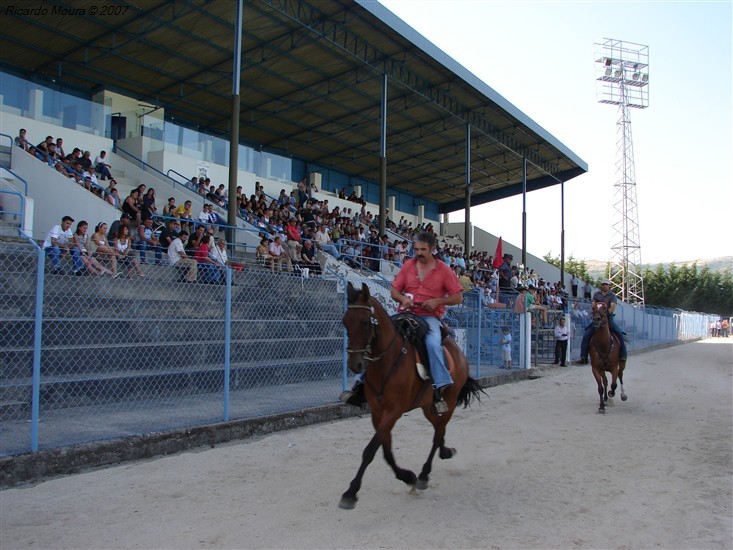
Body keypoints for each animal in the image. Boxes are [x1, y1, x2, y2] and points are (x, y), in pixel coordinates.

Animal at [338, 282, 486, 512]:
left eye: (364, 322)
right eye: (345, 321)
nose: (356, 365)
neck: (388, 361)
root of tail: (459, 353)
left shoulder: (394, 411)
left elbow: (370, 450)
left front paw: (351, 492)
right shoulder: (377, 413)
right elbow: (386, 450)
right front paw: (407, 476)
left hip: (450, 401)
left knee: (438, 433)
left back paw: (425, 473)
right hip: (427, 406)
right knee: (438, 428)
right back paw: (444, 452)